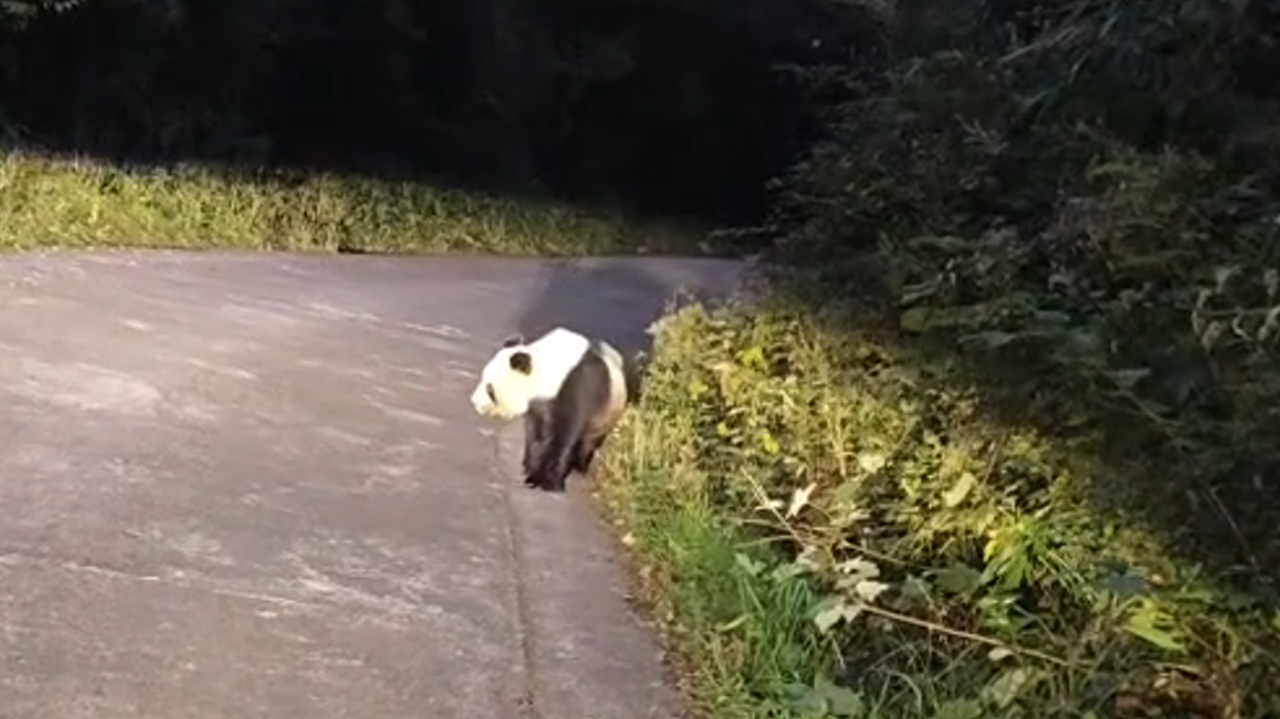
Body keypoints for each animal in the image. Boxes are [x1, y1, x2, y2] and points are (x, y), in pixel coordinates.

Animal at [471, 326, 629, 488]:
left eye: (490, 388)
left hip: (607, 412)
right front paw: (530, 469)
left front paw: (547, 481)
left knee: (589, 441)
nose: (474, 401)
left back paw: (580, 466)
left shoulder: (579, 388)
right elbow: (534, 433)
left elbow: (565, 437)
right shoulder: (537, 404)